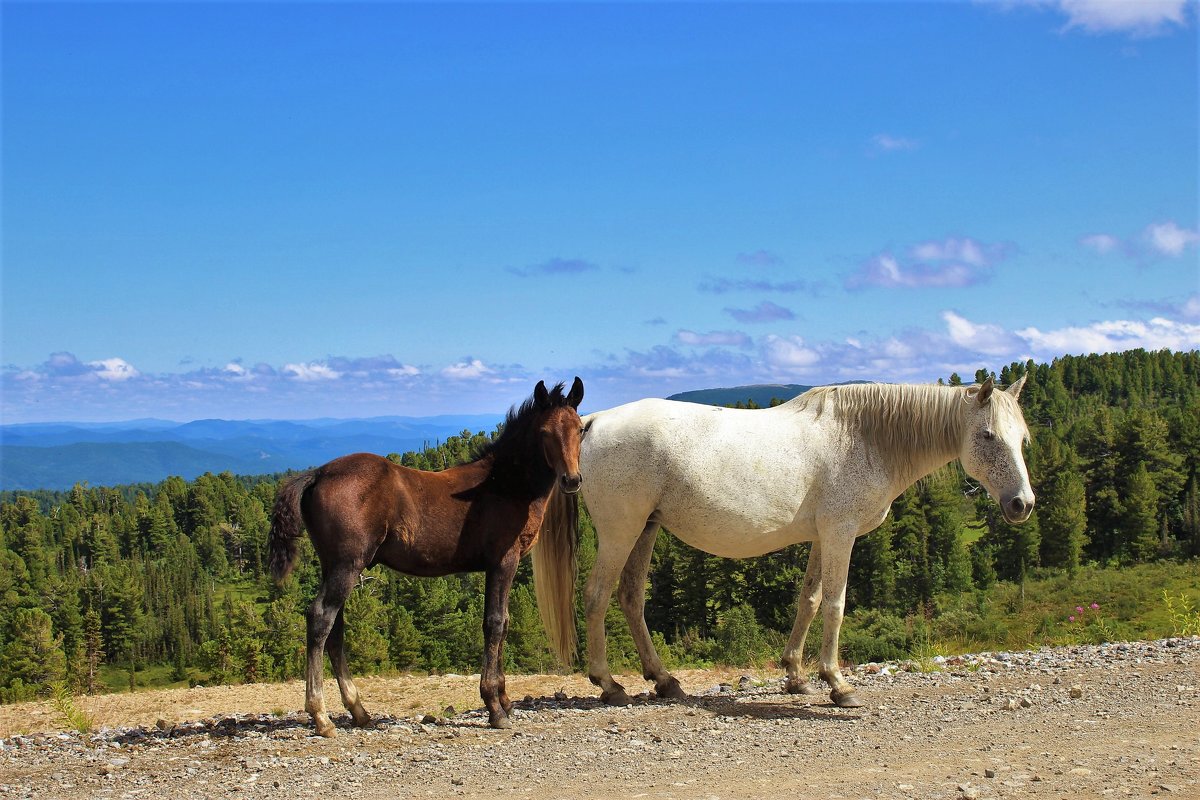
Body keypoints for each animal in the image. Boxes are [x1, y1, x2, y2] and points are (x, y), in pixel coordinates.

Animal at [268, 379, 585, 734]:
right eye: (545, 433)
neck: (504, 484)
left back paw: (358, 710)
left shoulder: (505, 565)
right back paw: (321, 716)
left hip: (333, 565)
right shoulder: (503, 561)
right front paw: (494, 707)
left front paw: (505, 701)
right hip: (346, 565)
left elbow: (503, 622)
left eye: (580, 429)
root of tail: (318, 474)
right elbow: (494, 623)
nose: (571, 480)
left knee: (335, 627)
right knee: (321, 617)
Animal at [535, 381, 1032, 705]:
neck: (864, 437)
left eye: (1023, 438)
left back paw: (665, 681)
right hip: (621, 531)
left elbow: (808, 601)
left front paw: (796, 676)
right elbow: (835, 604)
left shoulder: (822, 538)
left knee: (630, 597)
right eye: (987, 435)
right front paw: (838, 684)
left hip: (646, 529)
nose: (1021, 504)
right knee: (597, 596)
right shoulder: (840, 533)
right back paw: (609, 685)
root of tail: (593, 423)